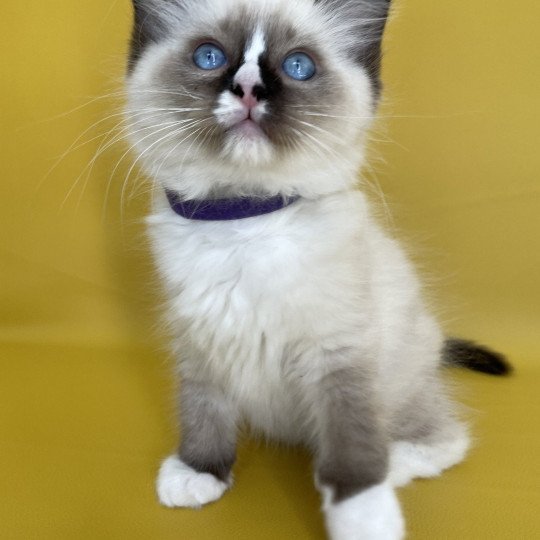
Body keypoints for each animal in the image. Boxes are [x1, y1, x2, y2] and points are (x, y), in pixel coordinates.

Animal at [124, 1, 508, 540]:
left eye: (298, 66)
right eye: (209, 57)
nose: (248, 88)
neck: (245, 220)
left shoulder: (339, 354)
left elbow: (352, 447)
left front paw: (365, 518)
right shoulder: (200, 343)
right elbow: (203, 411)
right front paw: (200, 472)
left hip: (401, 385)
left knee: (446, 437)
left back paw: (394, 464)